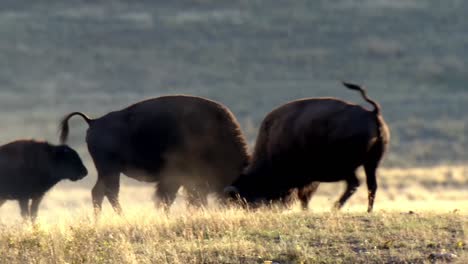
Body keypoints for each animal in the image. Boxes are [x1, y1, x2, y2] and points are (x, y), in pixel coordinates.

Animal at [59, 95, 250, 214]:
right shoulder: (178, 179)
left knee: (100, 193)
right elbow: (168, 199)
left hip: (108, 171)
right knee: (108, 192)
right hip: (109, 170)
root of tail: (93, 121)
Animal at [225, 82, 390, 212]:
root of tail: (373, 113)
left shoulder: (303, 178)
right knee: (371, 185)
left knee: (355, 184)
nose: (250, 210)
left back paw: (334, 208)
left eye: (247, 193)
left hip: (348, 168)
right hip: (371, 164)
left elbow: (303, 196)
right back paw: (367, 210)